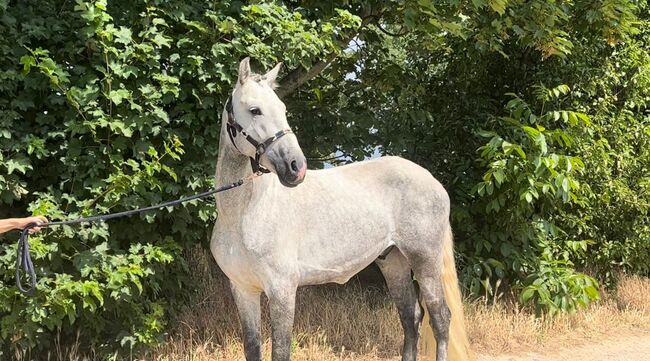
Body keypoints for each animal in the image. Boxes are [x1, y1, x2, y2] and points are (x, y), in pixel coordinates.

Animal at [210, 57, 468, 358]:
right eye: (255, 110)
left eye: (283, 109)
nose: (296, 167)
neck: (243, 216)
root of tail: (433, 181)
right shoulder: (244, 291)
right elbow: (252, 348)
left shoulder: (282, 290)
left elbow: (281, 351)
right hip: (394, 261)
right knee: (411, 317)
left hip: (424, 259)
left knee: (440, 318)